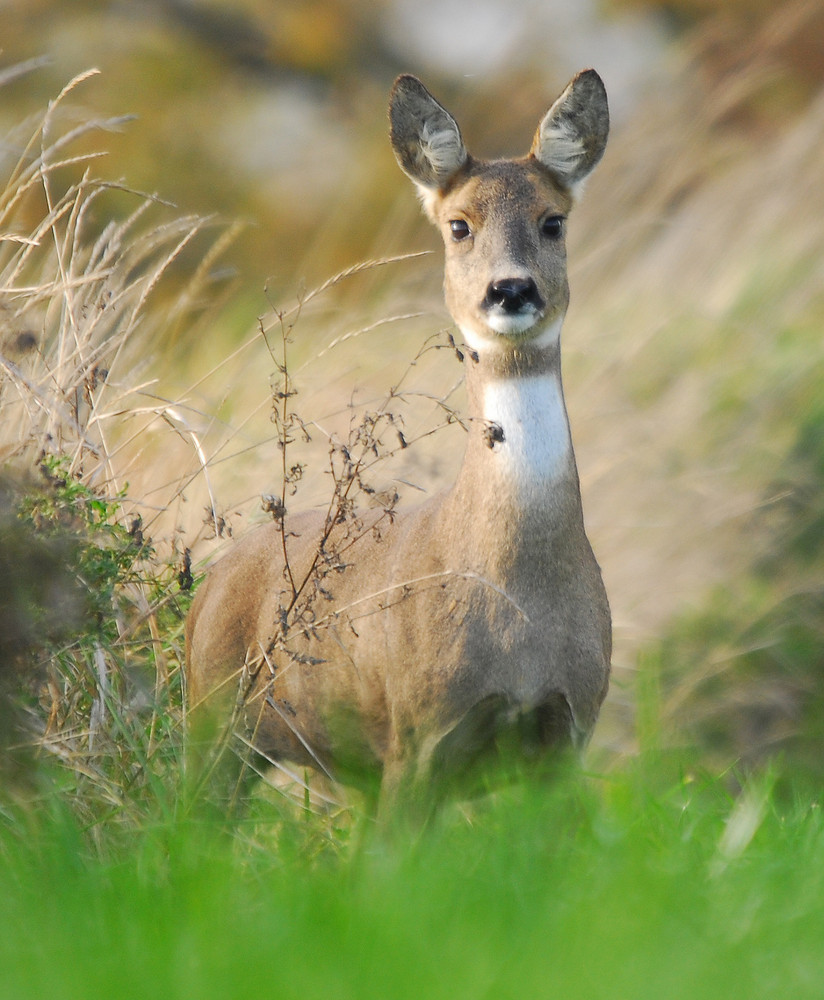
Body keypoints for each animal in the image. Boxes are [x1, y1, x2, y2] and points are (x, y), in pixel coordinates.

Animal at [187, 72, 612, 820]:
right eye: (459, 225)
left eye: (553, 221)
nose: (511, 289)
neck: (519, 608)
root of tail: (200, 592)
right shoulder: (418, 733)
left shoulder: (567, 731)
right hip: (213, 720)